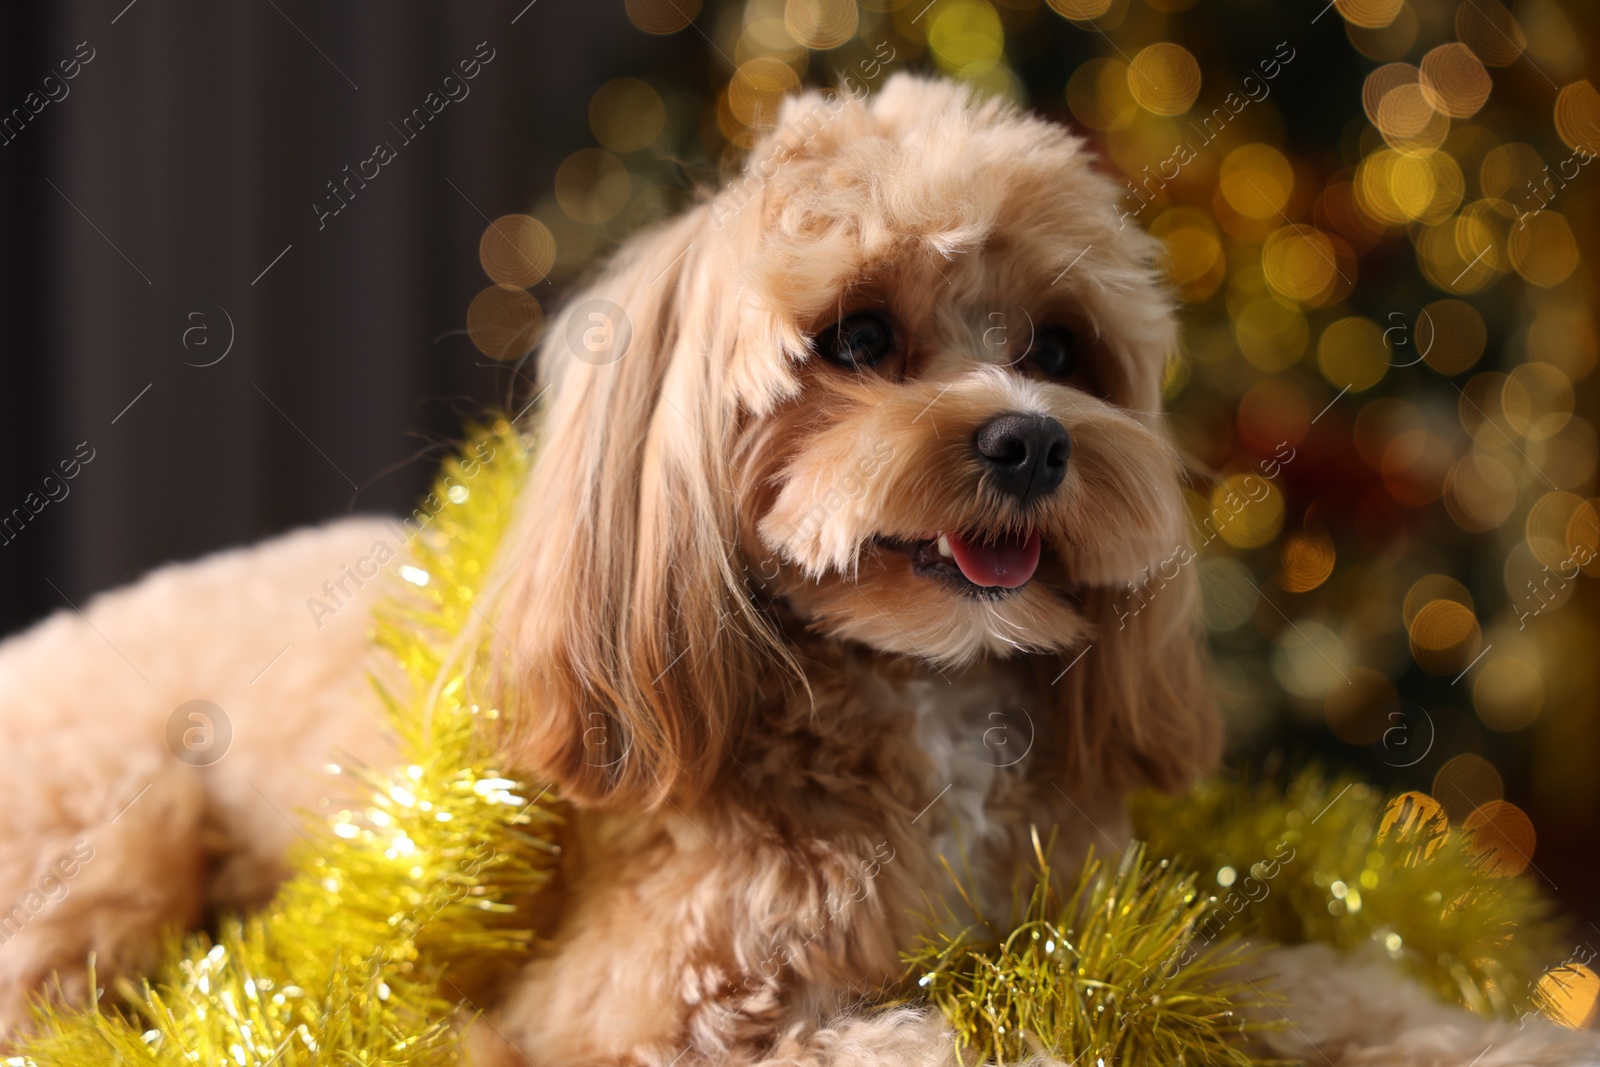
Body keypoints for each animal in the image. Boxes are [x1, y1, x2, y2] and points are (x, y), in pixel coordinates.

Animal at [0, 77, 1587, 1067]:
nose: (1028, 438)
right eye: (860, 339)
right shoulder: (650, 1005)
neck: (919, 697)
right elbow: (940, 1035)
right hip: (118, 831)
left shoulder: (1110, 921)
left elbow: (1307, 978)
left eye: (1061, 347)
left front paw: (1499, 1034)